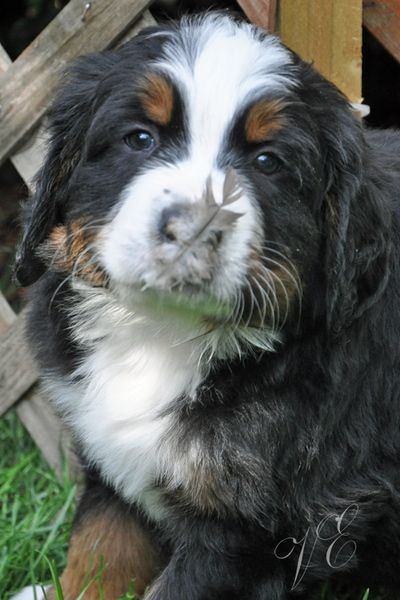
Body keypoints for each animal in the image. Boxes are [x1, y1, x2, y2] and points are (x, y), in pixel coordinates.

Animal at [15, 11, 400, 600]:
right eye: (140, 138)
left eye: (267, 161)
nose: (193, 227)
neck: (163, 334)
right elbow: (101, 547)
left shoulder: (257, 530)